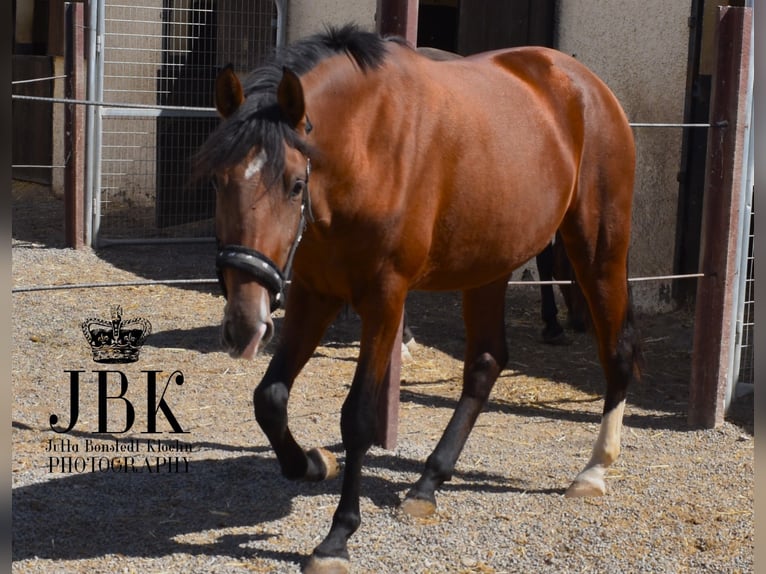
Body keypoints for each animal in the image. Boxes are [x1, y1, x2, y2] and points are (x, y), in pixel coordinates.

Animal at [194, 24, 640, 572]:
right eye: (218, 181)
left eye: (296, 183)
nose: (243, 324)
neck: (367, 146)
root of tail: (589, 87)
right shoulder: (315, 292)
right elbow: (270, 398)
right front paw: (314, 463)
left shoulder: (385, 298)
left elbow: (358, 417)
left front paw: (337, 537)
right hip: (490, 263)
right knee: (486, 362)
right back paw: (428, 483)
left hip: (598, 248)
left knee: (615, 350)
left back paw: (594, 470)